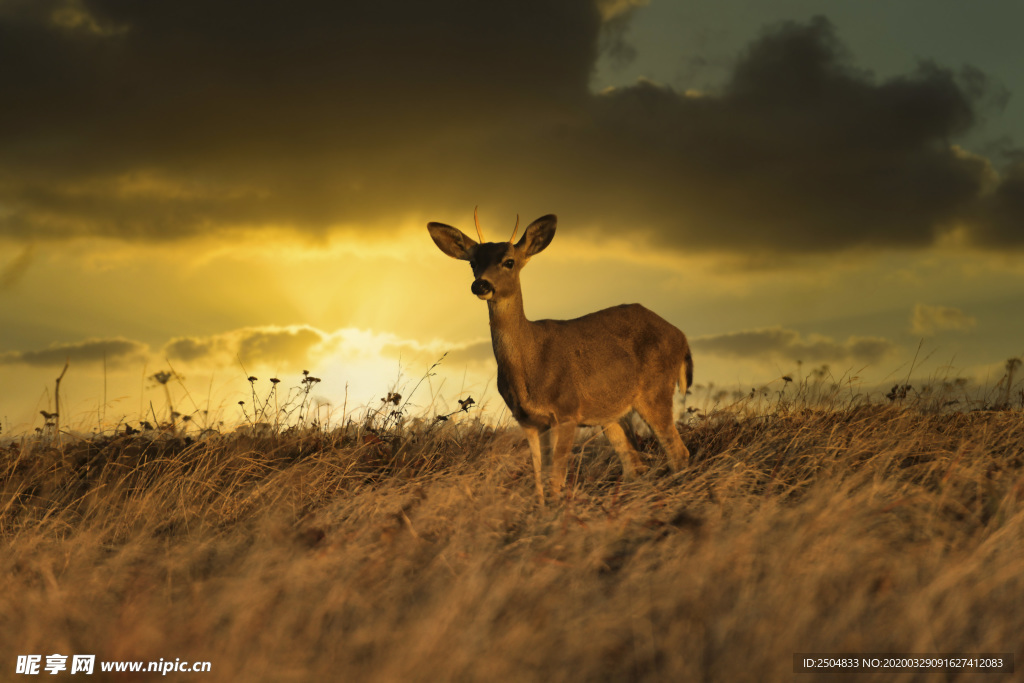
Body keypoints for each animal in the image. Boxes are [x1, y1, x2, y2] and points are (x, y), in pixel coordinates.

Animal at [428, 208, 692, 501]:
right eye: (473, 262)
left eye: (509, 262)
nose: (481, 285)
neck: (530, 362)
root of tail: (681, 336)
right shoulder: (528, 420)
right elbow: (539, 480)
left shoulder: (567, 410)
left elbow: (556, 479)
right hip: (612, 414)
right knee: (635, 465)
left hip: (655, 391)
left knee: (679, 453)